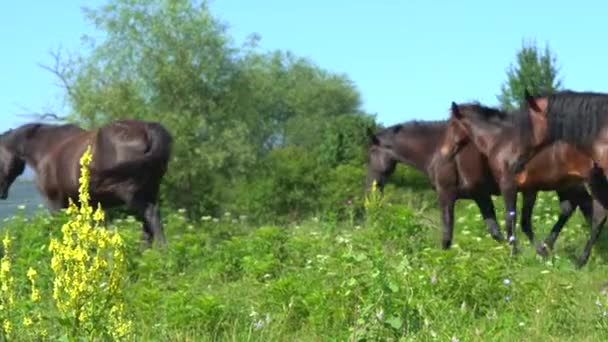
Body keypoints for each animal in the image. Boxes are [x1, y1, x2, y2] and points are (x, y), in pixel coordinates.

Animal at [0, 119, 173, 247]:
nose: (2, 193)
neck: (47, 148)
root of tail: (147, 129)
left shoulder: (56, 204)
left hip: (132, 194)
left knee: (151, 216)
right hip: (150, 190)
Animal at [364, 121, 592, 250]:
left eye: (371, 153)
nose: (371, 188)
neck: (439, 150)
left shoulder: (446, 195)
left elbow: (447, 234)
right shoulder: (480, 196)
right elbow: (495, 231)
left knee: (576, 208)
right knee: (577, 208)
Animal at [440, 101, 604, 268]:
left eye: (451, 125)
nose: (444, 151)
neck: (500, 142)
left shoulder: (507, 186)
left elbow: (509, 220)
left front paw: (515, 254)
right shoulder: (529, 190)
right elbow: (524, 222)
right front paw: (540, 252)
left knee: (594, 214)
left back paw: (579, 260)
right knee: (582, 210)